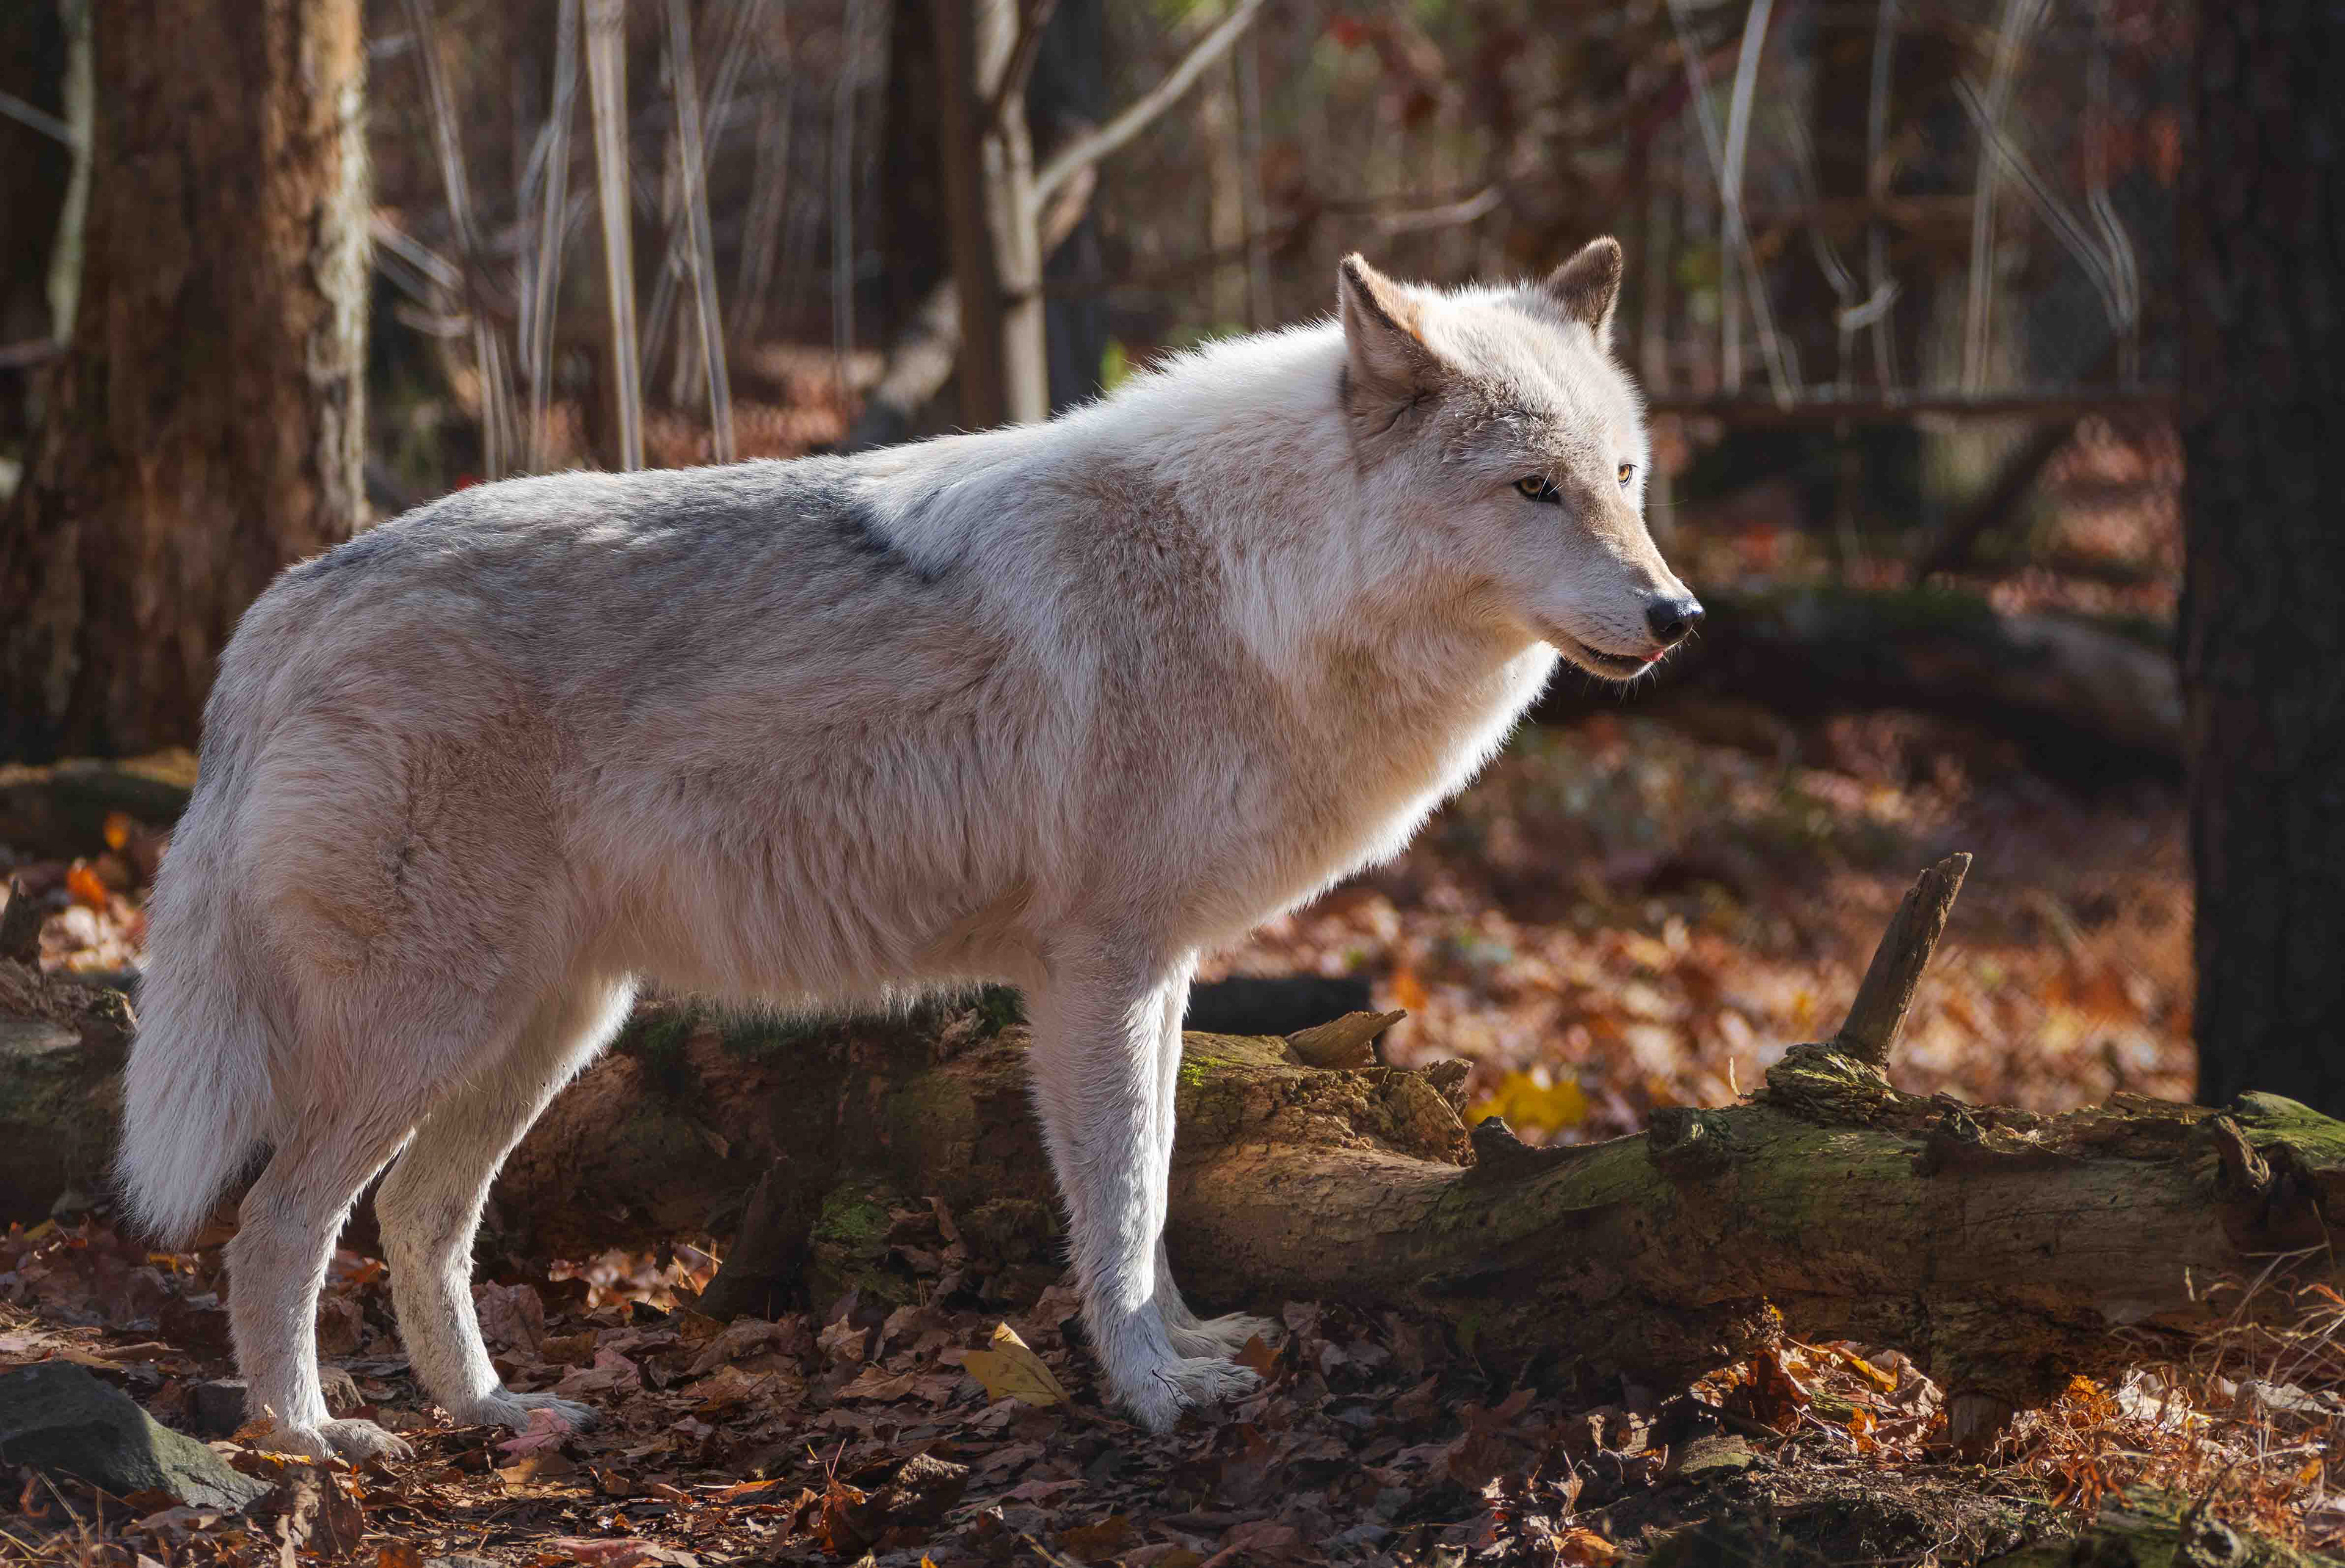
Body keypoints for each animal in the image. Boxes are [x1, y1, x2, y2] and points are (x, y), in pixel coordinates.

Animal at [116, 239, 1699, 1458]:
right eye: (1533, 490)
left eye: (1625, 479)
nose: (1677, 614)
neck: (1258, 578)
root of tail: (289, 603)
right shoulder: (1100, 969)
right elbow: (1123, 1198)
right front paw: (1151, 1389)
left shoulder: (1157, 970)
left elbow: (1160, 1180)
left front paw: (1188, 1342)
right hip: (436, 1022)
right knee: (276, 1223)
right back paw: (308, 1436)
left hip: (549, 1024)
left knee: (421, 1214)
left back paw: (494, 1411)